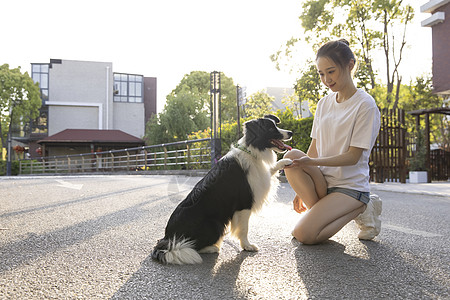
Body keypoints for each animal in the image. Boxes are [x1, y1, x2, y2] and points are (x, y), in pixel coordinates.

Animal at [151, 115, 292, 264]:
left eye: (276, 125)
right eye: (270, 128)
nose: (291, 133)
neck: (252, 150)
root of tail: (168, 238)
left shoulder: (261, 175)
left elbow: (272, 168)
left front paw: (286, 161)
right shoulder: (244, 203)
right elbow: (244, 229)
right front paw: (247, 246)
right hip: (215, 224)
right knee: (191, 246)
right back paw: (212, 248)